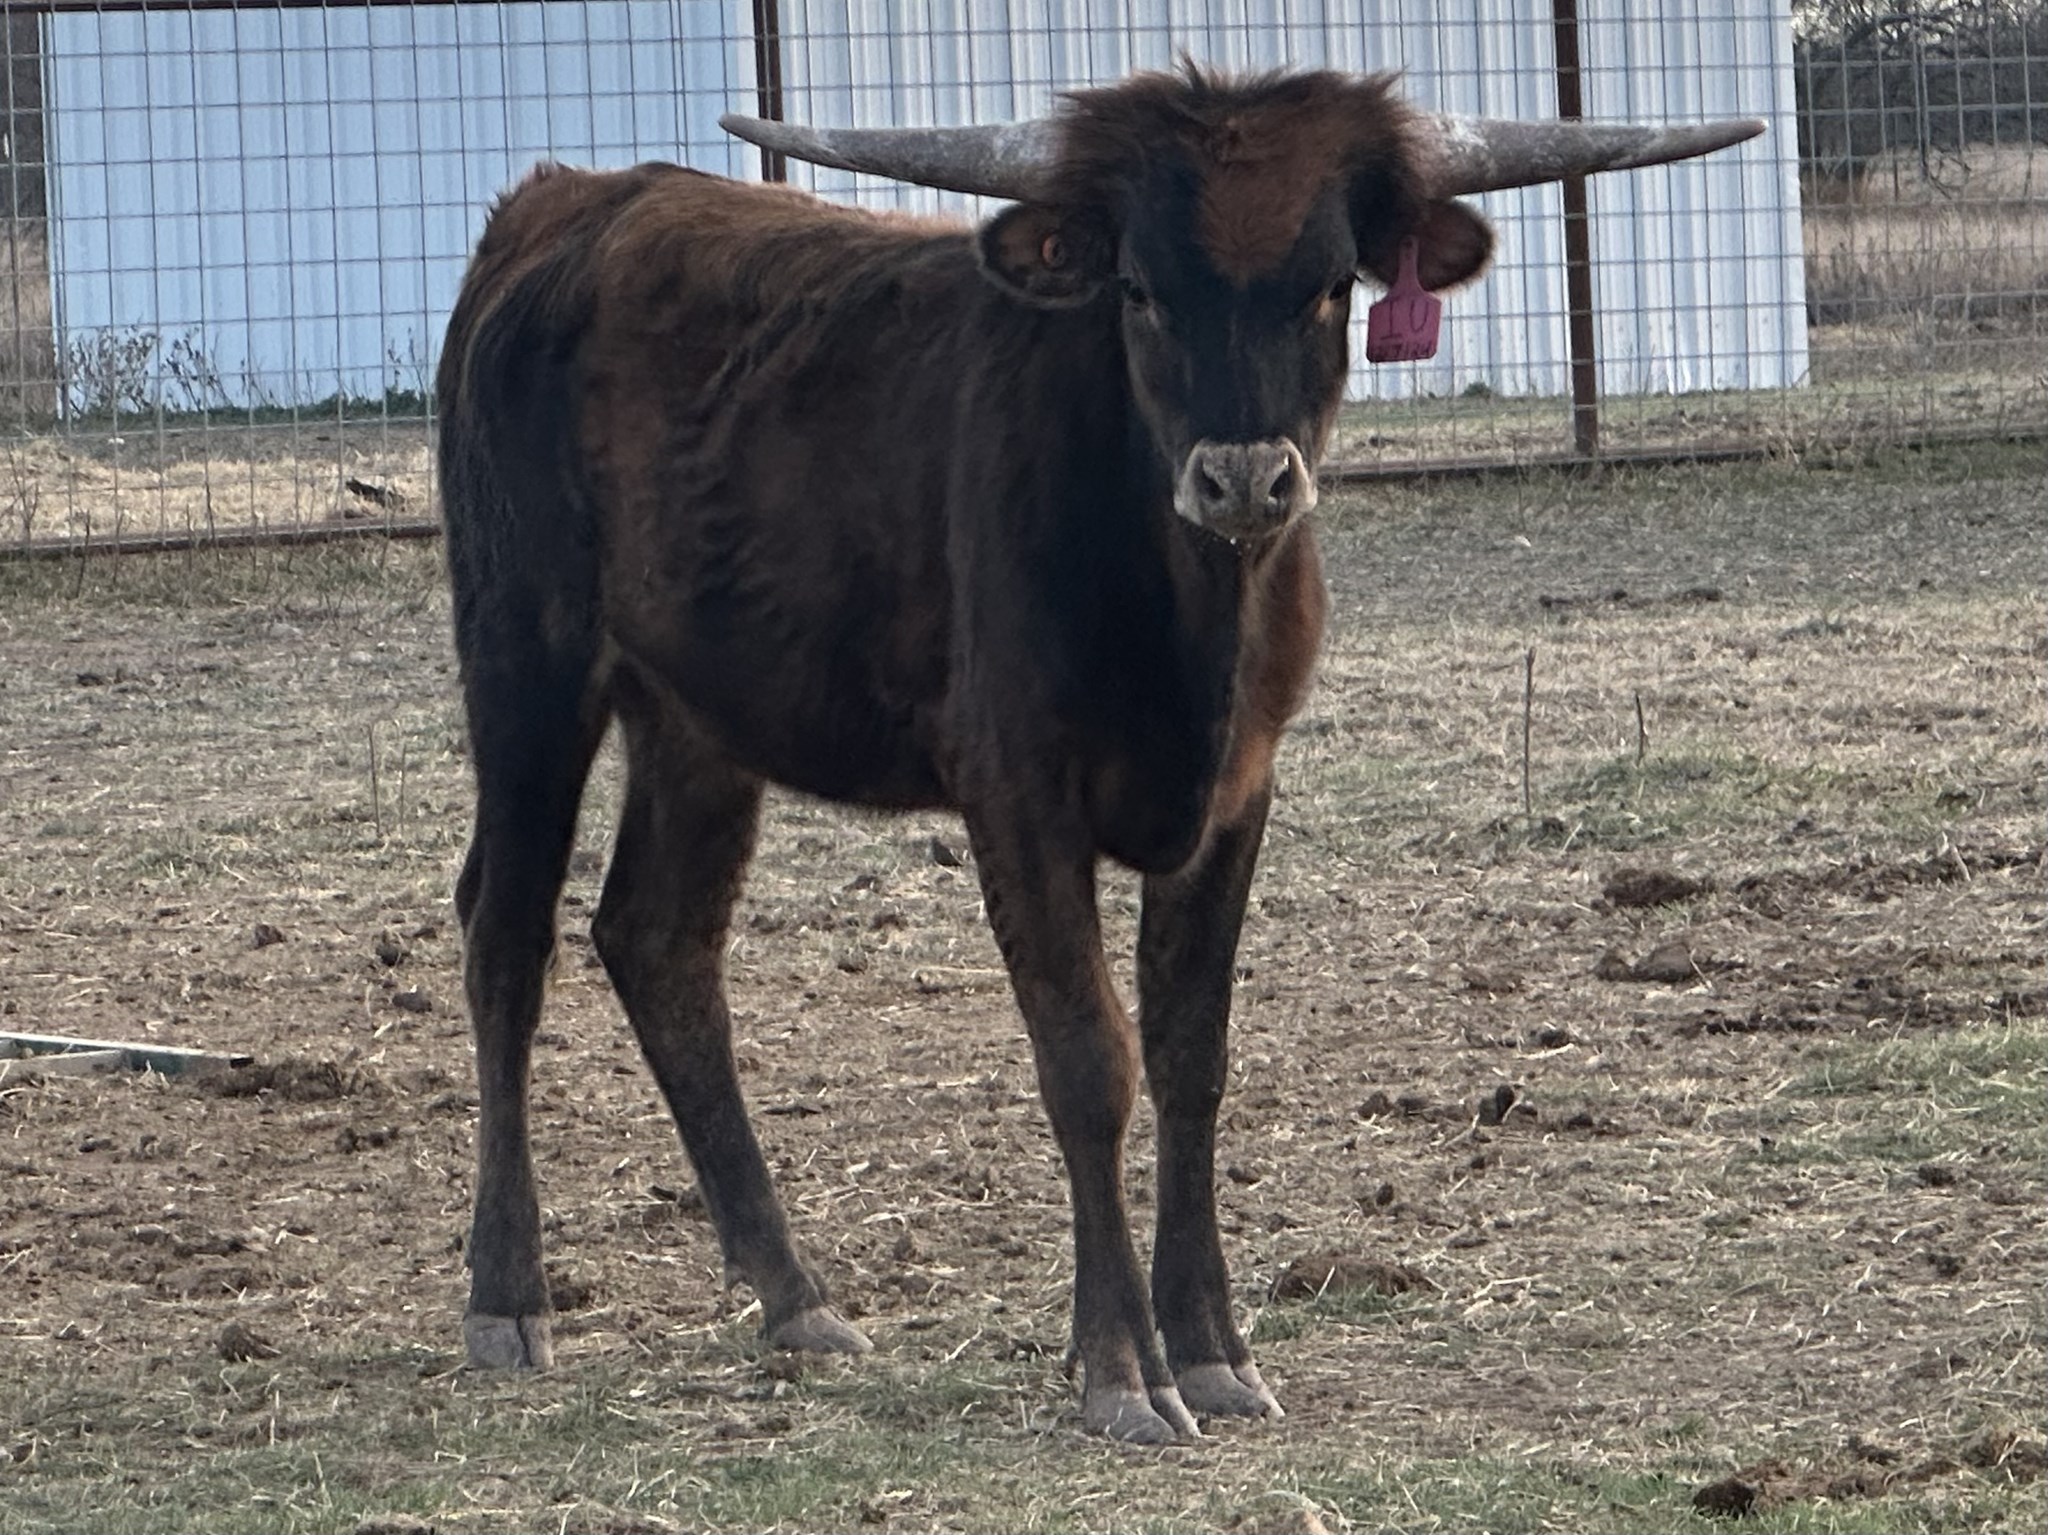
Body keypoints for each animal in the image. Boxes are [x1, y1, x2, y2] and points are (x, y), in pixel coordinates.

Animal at [436, 63, 1759, 1443]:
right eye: (1137, 287)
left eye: (1328, 284)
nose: (1243, 482)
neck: (1181, 603)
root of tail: (563, 205)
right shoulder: (1017, 793)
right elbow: (1089, 1059)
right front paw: (1122, 1360)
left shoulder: (1238, 792)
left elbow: (1189, 1054)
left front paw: (1213, 1344)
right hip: (526, 659)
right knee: (507, 934)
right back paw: (507, 1294)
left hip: (698, 713)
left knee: (660, 937)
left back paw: (794, 1293)